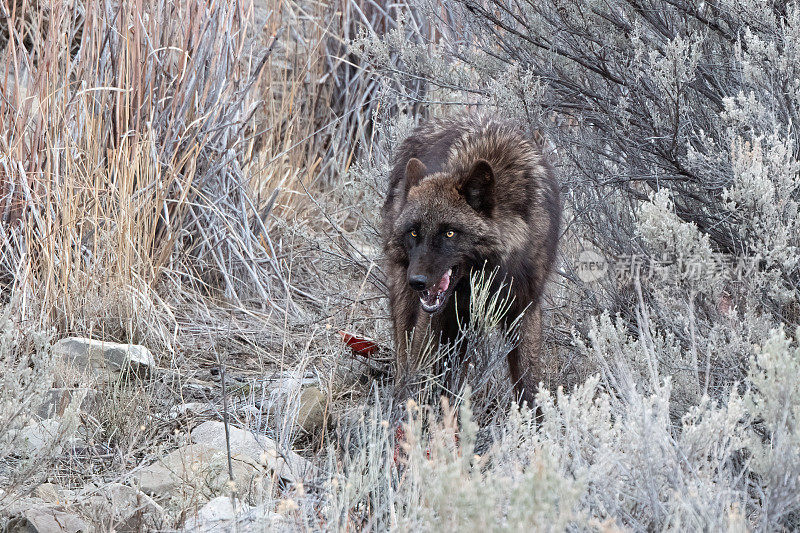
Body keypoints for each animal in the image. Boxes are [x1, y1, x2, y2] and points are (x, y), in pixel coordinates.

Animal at [382, 112, 564, 404]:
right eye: (414, 232)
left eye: (449, 233)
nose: (417, 281)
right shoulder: (437, 317)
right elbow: (425, 374)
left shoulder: (525, 308)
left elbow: (528, 385)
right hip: (409, 302)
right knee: (405, 358)